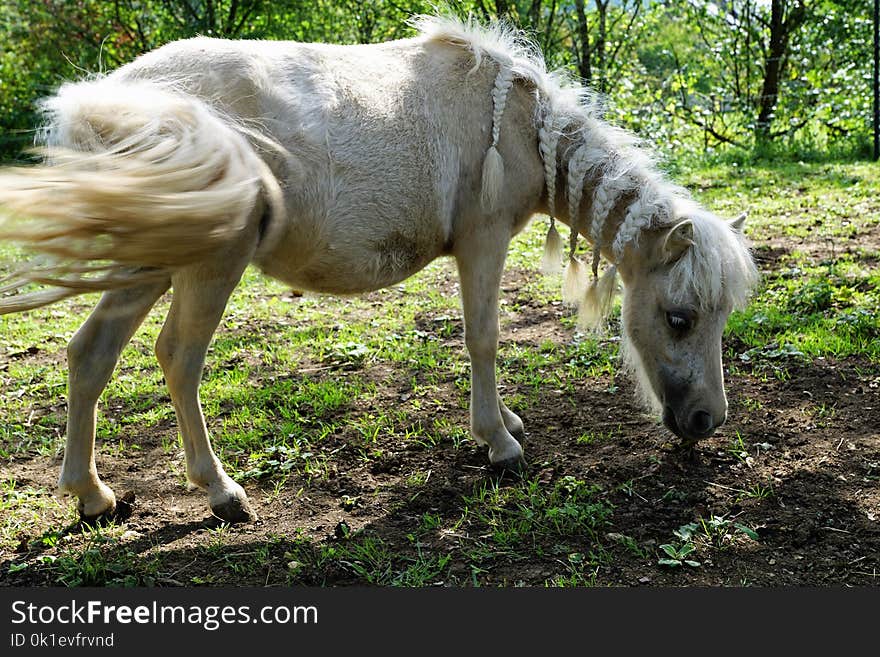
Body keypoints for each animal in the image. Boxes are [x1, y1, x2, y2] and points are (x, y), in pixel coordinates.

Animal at [0, 16, 756, 524]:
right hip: (207, 265)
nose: (707, 420)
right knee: (178, 357)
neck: (514, 120)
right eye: (679, 317)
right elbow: (483, 337)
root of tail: (96, 103)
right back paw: (220, 491)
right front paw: (498, 442)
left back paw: (91, 494)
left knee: (90, 353)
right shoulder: (483, 243)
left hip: (150, 262)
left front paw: (507, 420)